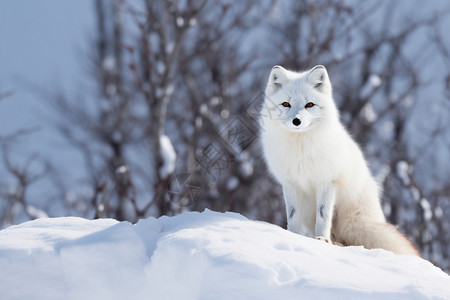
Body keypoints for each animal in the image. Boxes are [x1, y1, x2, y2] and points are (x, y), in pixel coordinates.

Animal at [260, 65, 422, 255]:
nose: (296, 121)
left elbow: (323, 215)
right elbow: (292, 215)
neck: (301, 148)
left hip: (350, 220)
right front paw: (292, 235)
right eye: (286, 104)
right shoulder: (290, 183)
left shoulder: (328, 182)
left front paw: (322, 240)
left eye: (309, 105)